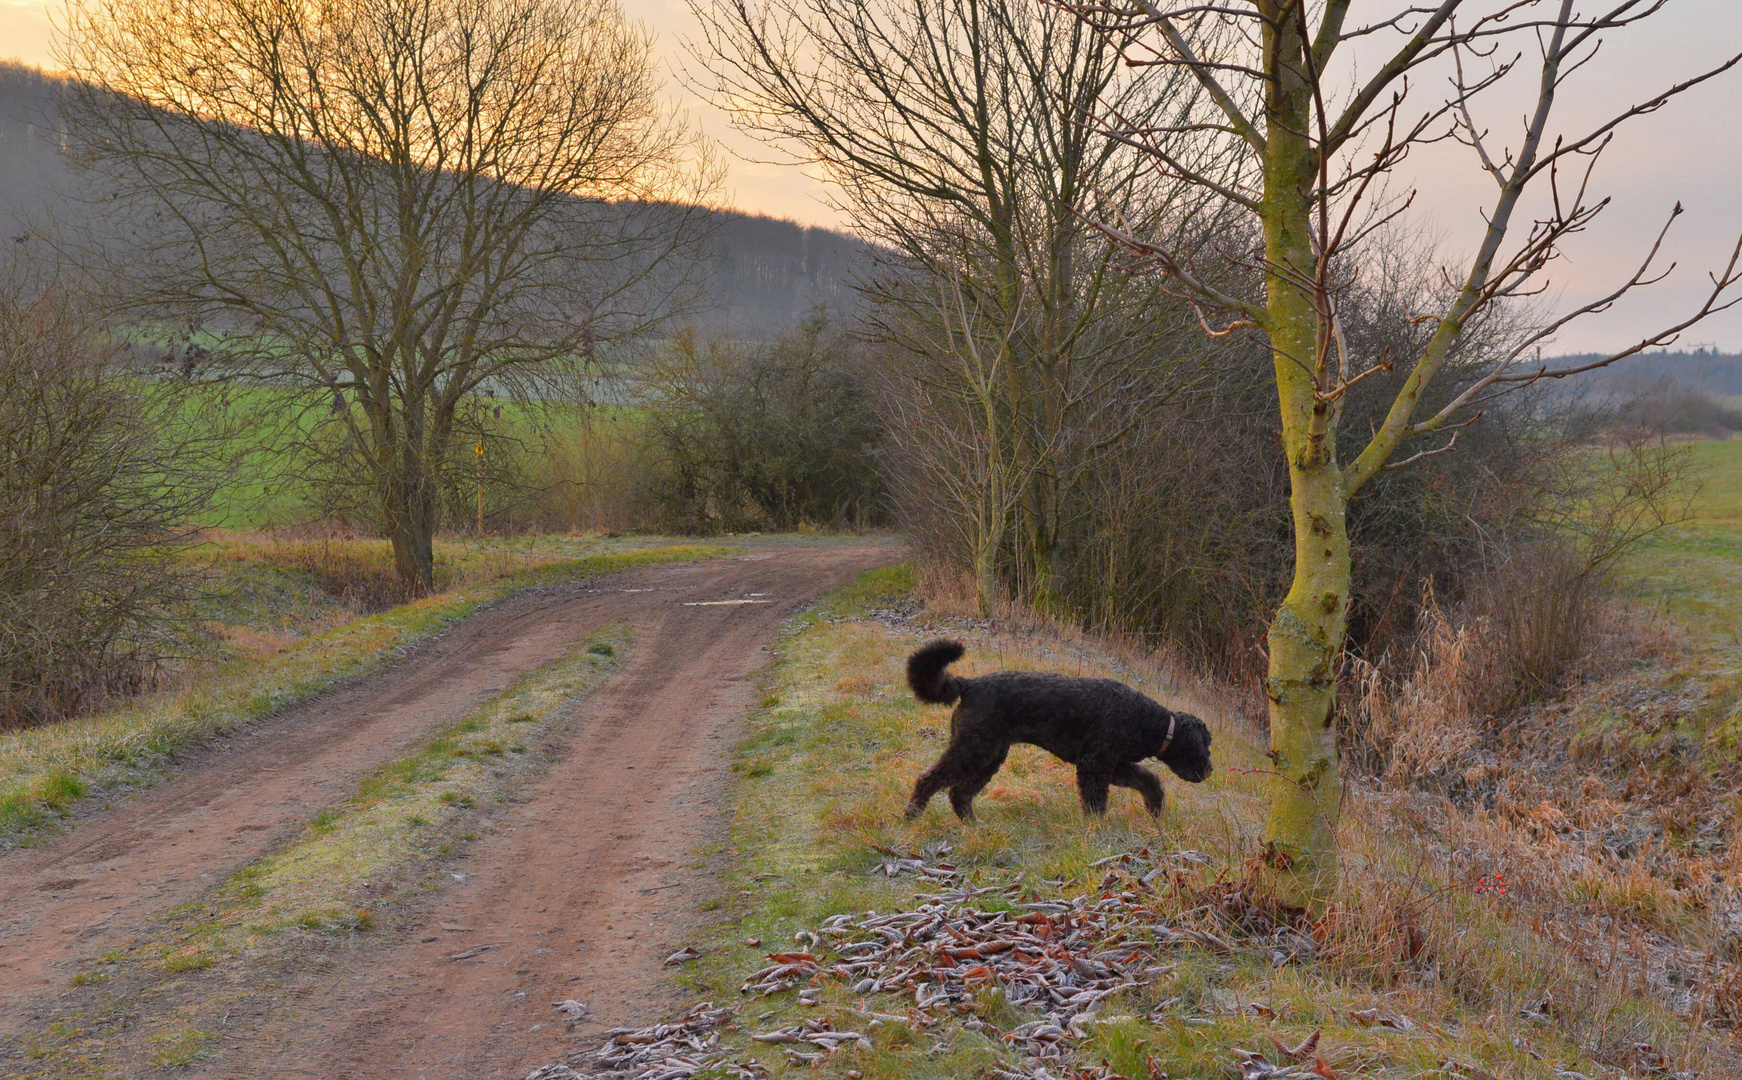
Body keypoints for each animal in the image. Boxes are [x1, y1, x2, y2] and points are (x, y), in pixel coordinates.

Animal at [912, 637, 1212, 822]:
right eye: (1205, 745)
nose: (1209, 771)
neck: (1147, 720)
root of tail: (969, 684)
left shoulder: (1114, 765)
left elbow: (1148, 780)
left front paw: (1155, 806)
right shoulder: (1094, 765)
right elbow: (1096, 803)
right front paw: (1096, 830)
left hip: (989, 756)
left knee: (959, 793)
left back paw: (974, 825)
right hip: (973, 750)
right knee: (930, 779)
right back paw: (911, 816)